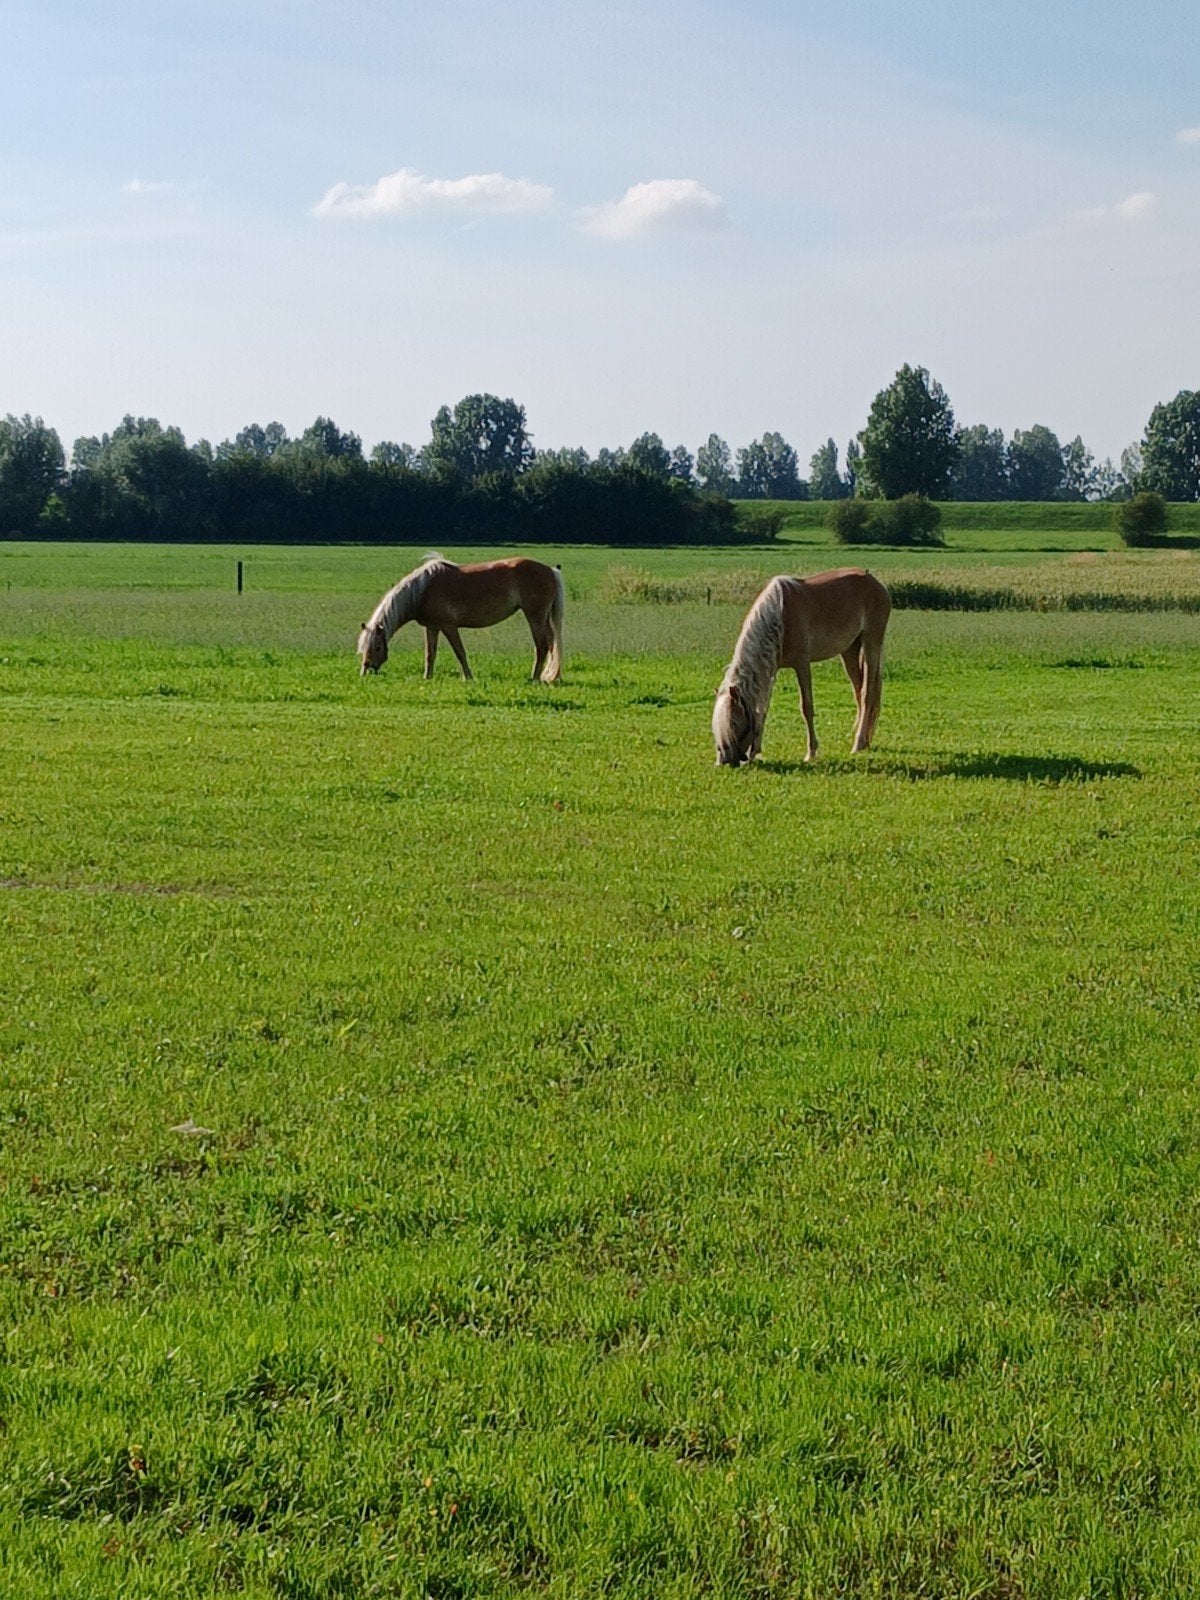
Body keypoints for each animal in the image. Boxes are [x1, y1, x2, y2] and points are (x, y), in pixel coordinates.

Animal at [357, 554, 565, 682]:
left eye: (377, 647)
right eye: (363, 647)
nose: (366, 668)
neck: (423, 590)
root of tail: (551, 571)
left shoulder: (449, 626)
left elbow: (460, 652)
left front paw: (469, 677)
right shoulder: (431, 627)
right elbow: (430, 654)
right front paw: (427, 677)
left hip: (535, 617)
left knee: (541, 646)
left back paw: (534, 678)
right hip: (544, 618)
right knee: (552, 645)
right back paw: (551, 676)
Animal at [712, 568, 891, 766]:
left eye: (734, 722)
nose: (724, 760)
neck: (780, 616)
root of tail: (876, 582)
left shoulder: (802, 665)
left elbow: (807, 707)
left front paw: (811, 753)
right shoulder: (771, 670)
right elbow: (763, 709)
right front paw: (754, 753)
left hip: (871, 643)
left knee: (867, 693)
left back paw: (858, 744)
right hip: (849, 650)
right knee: (859, 691)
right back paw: (865, 741)